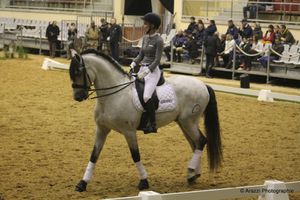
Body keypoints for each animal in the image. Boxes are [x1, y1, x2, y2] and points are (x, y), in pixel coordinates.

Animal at [68, 48, 223, 192]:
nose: (78, 96)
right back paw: (193, 174)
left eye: (78, 72)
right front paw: (82, 183)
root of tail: (203, 85)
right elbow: (94, 155)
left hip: (188, 122)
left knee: (201, 141)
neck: (114, 95)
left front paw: (144, 181)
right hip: (183, 123)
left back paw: (191, 172)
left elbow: (135, 155)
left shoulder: (129, 132)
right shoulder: (102, 129)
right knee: (195, 144)